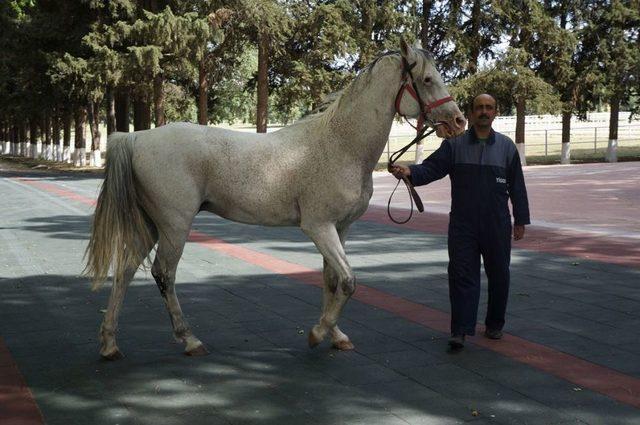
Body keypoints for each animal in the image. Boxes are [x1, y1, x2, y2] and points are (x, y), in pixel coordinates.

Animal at [85, 39, 464, 358]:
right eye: (427, 79)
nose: (459, 121)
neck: (340, 144)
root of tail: (137, 138)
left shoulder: (340, 229)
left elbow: (333, 280)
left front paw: (336, 335)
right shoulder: (318, 227)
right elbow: (348, 281)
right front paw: (318, 333)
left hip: (151, 225)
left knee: (126, 270)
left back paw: (109, 343)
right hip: (175, 226)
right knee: (164, 274)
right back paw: (189, 339)